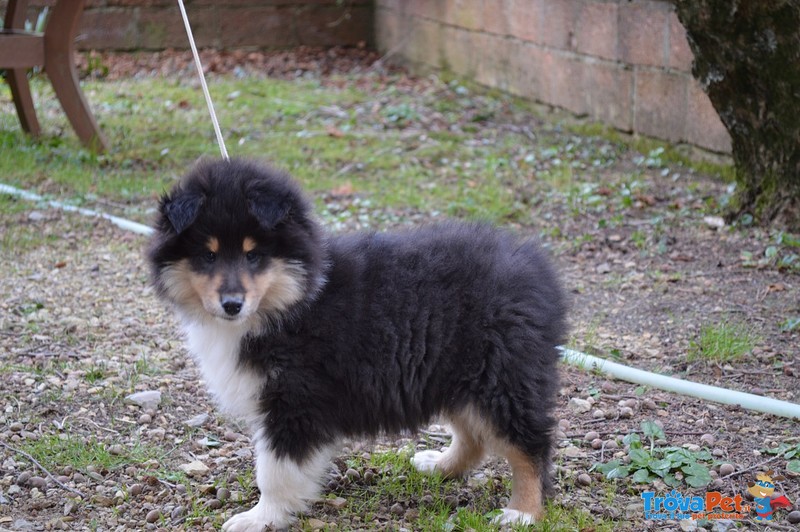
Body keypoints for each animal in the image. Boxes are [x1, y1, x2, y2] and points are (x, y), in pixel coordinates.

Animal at [147, 159, 564, 532]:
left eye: (254, 255)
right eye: (208, 255)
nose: (231, 304)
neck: (295, 299)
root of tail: (537, 270)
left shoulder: (295, 399)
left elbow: (275, 470)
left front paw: (261, 518)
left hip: (500, 376)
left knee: (530, 444)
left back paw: (523, 513)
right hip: (453, 371)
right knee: (475, 437)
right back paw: (439, 466)